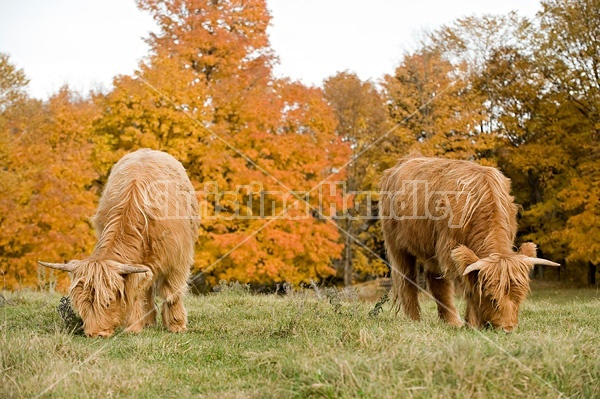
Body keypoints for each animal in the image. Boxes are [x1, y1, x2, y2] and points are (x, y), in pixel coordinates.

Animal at [39, 149, 199, 338]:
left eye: (108, 301)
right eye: (81, 303)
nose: (95, 333)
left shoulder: (177, 261)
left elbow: (172, 292)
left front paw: (177, 325)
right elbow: (135, 293)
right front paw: (135, 327)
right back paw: (148, 321)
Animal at [380, 158, 556, 332]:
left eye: (520, 297)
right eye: (491, 297)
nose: (507, 329)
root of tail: (400, 164)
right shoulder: (449, 250)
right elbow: (470, 286)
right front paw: (472, 324)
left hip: (431, 250)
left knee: (436, 281)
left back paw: (451, 321)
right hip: (397, 246)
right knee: (407, 279)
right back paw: (414, 319)